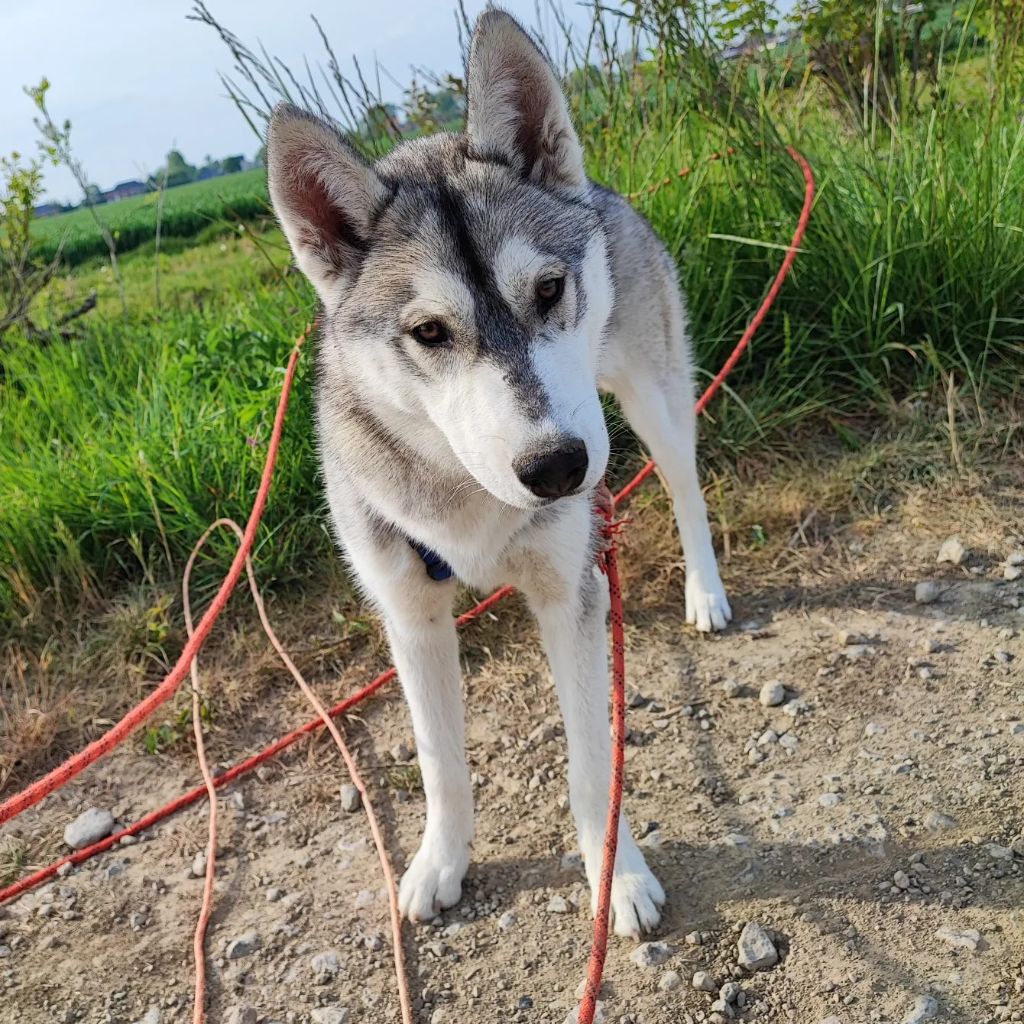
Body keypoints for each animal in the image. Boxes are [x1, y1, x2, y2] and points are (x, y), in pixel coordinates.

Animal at [264, 6, 729, 937]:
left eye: (548, 289)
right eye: (430, 333)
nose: (558, 468)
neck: (467, 495)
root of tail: (595, 190)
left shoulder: (566, 594)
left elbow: (592, 765)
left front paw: (617, 877)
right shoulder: (408, 616)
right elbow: (440, 763)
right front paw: (441, 863)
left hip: (653, 403)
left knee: (685, 489)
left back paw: (705, 591)